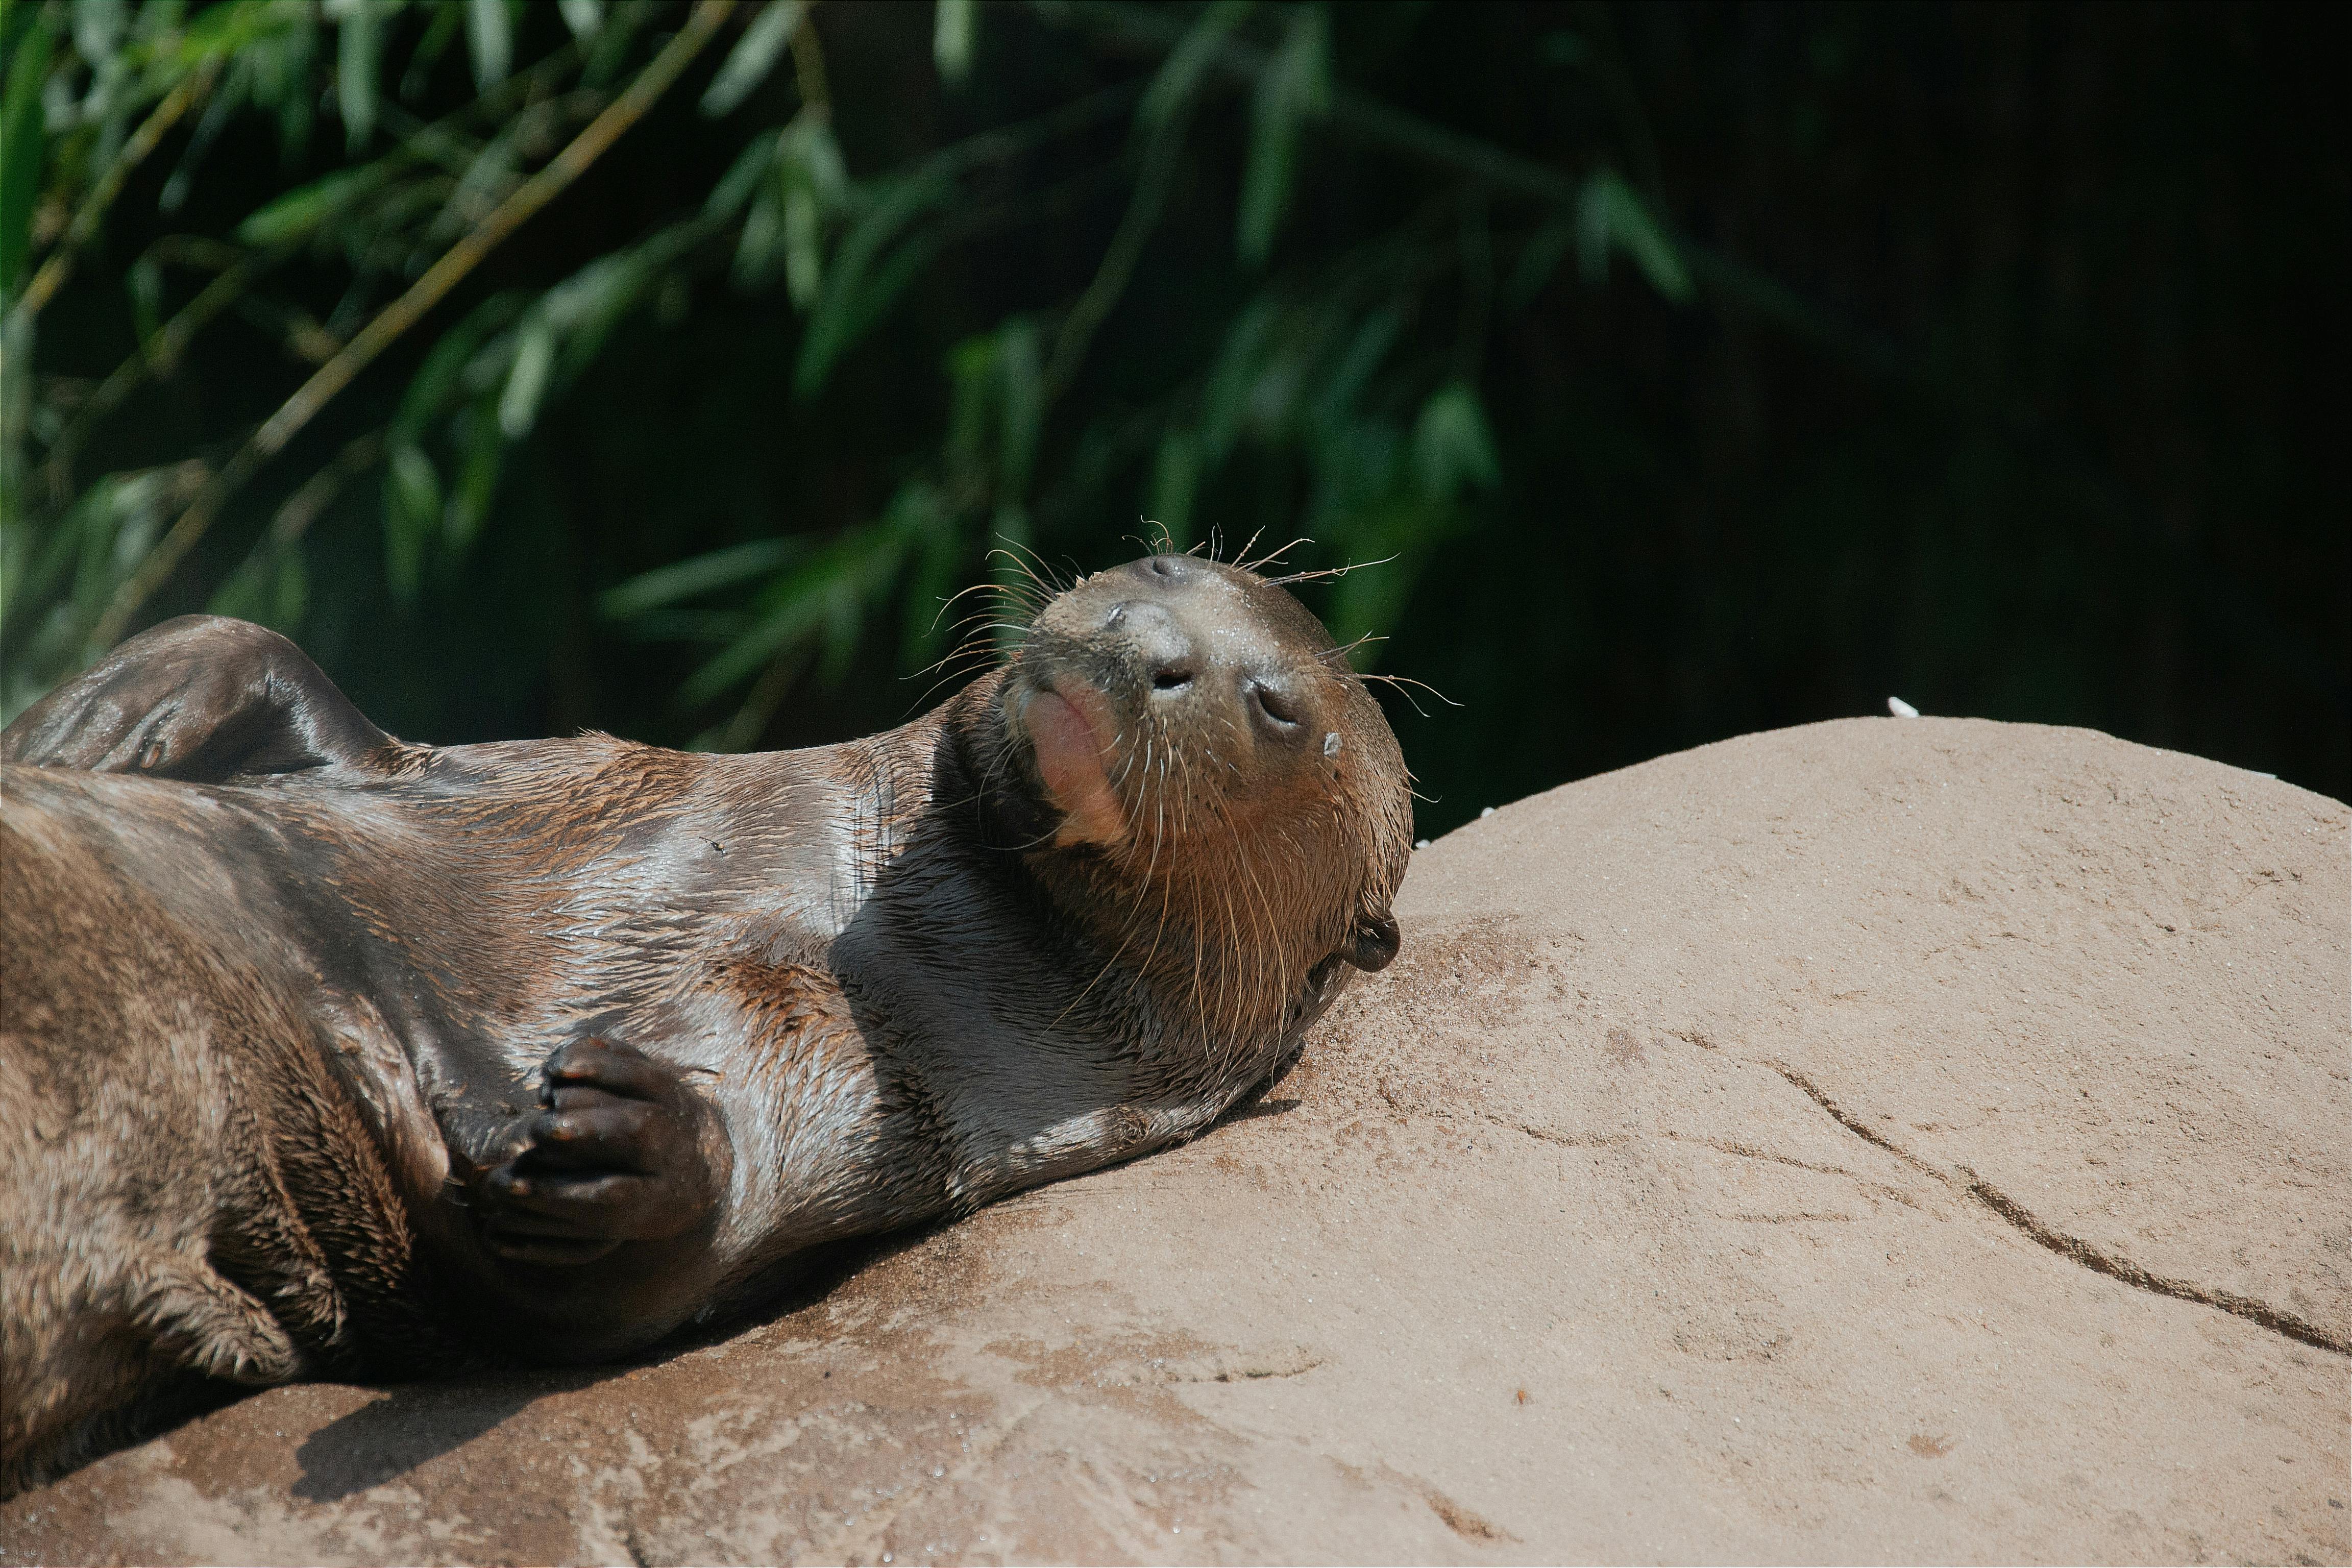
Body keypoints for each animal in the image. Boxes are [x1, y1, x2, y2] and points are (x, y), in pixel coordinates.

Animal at [0, 555, 1411, 1497]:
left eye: (1276, 705)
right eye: (1161, 562)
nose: (1143, 641)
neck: (837, 883)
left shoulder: (875, 1103)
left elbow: (605, 1301)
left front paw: (630, 1143)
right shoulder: (543, 769)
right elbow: (322, 706)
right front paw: (127, 701)